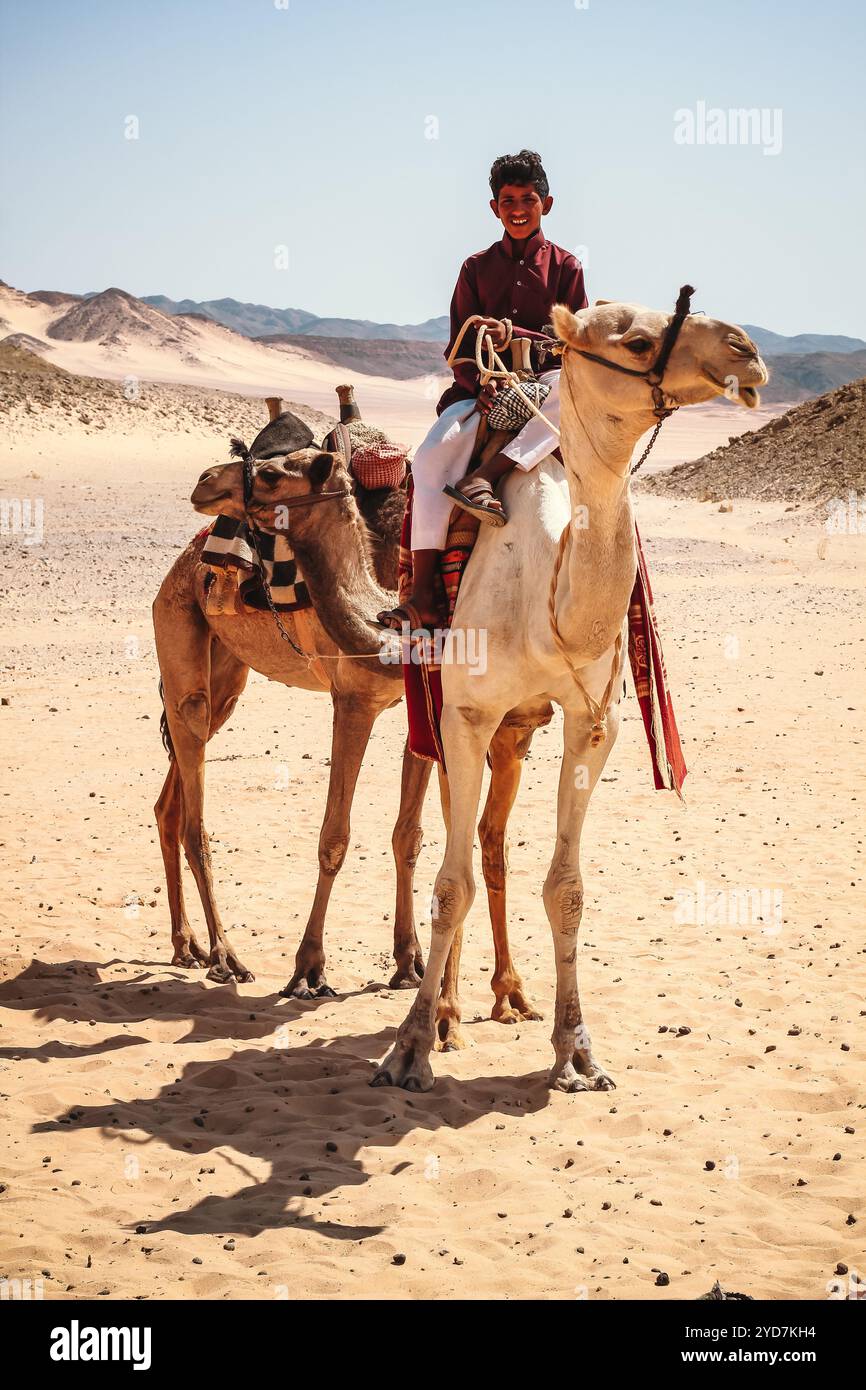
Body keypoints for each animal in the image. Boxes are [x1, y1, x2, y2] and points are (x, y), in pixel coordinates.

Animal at [369, 296, 767, 1095]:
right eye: (637, 340)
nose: (746, 351)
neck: (545, 594)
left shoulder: (592, 722)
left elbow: (566, 887)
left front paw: (577, 1052)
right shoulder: (464, 714)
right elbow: (449, 883)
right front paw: (410, 1048)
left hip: (517, 731)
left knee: (491, 841)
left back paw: (503, 997)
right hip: (440, 713)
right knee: (447, 840)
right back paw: (447, 1016)